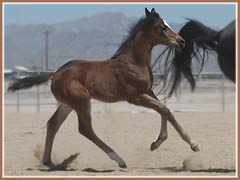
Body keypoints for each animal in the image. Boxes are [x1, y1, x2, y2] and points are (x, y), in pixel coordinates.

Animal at [7, 7, 199, 170]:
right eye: (162, 27)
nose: (181, 42)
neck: (133, 62)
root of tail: (55, 74)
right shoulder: (135, 97)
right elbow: (163, 109)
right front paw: (189, 144)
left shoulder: (148, 91)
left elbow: (165, 110)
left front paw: (160, 143)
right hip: (82, 102)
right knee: (85, 130)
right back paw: (119, 160)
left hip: (66, 105)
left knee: (52, 124)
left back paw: (49, 162)